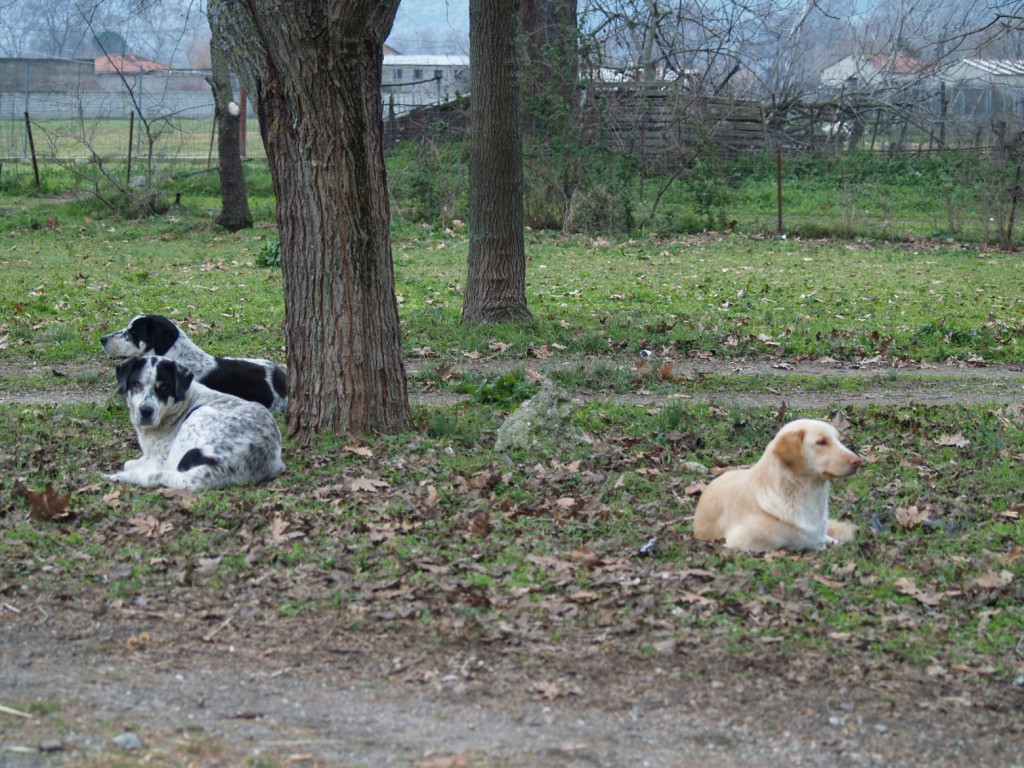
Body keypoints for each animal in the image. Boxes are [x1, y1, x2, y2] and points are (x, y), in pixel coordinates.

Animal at [104, 356, 284, 489]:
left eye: (164, 387)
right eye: (136, 383)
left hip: (197, 419)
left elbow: (130, 463)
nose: (146, 411)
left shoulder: (162, 457)